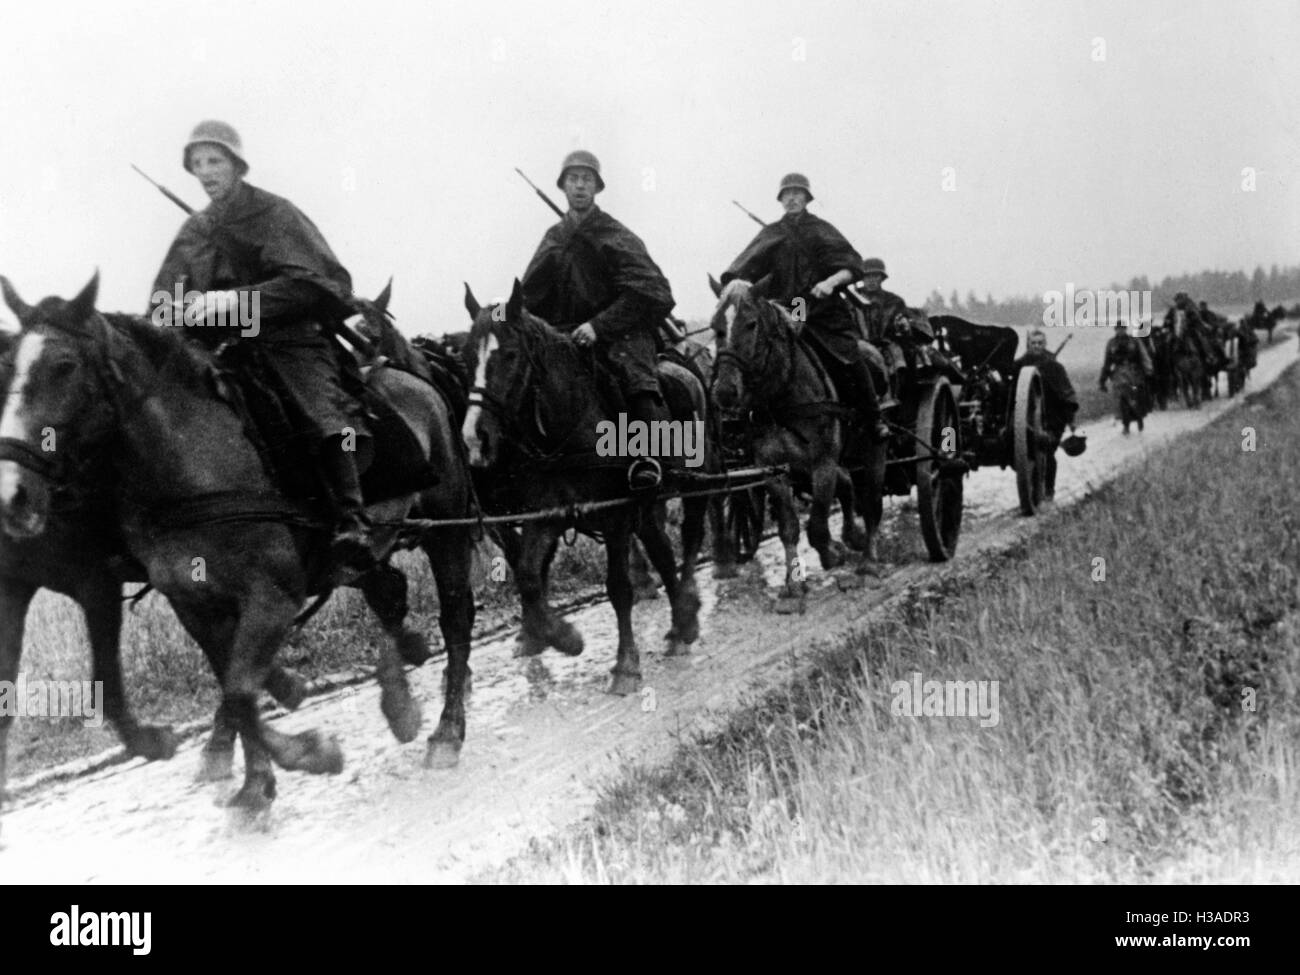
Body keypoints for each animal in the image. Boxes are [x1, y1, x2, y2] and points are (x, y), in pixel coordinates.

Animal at [0, 273, 478, 811]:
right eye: (7, 367)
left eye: (64, 365)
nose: (13, 494)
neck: (194, 463)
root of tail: (416, 379)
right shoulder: (193, 605)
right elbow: (234, 687)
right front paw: (258, 781)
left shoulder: (266, 597)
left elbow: (239, 690)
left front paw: (305, 751)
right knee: (390, 593)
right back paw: (401, 694)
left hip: (448, 528)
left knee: (454, 616)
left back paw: (446, 731)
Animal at [460, 278, 722, 696]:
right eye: (467, 358)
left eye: (511, 355)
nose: (474, 439)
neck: (570, 427)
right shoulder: (545, 516)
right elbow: (529, 575)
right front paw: (561, 637)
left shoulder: (614, 516)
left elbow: (618, 588)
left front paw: (626, 666)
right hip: (647, 506)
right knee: (663, 551)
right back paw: (680, 624)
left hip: (694, 483)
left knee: (691, 537)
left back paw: (688, 608)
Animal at [707, 275, 889, 611]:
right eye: (715, 326)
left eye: (751, 324)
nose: (724, 391)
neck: (782, 394)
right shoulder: (774, 471)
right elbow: (789, 528)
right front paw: (793, 586)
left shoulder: (822, 464)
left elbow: (816, 525)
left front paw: (831, 553)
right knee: (848, 484)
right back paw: (852, 536)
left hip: (874, 447)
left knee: (871, 501)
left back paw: (869, 562)